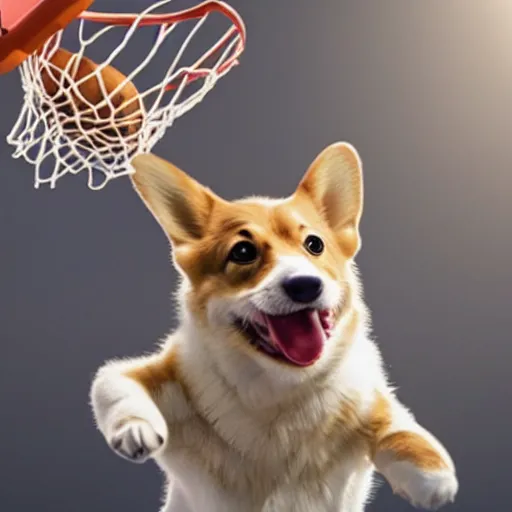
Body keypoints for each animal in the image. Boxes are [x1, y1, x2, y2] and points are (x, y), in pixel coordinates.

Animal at [90, 144, 458, 512]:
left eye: (315, 244)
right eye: (243, 251)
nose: (306, 285)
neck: (281, 388)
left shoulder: (370, 399)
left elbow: (400, 427)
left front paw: (433, 475)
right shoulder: (159, 375)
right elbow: (115, 384)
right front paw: (135, 427)